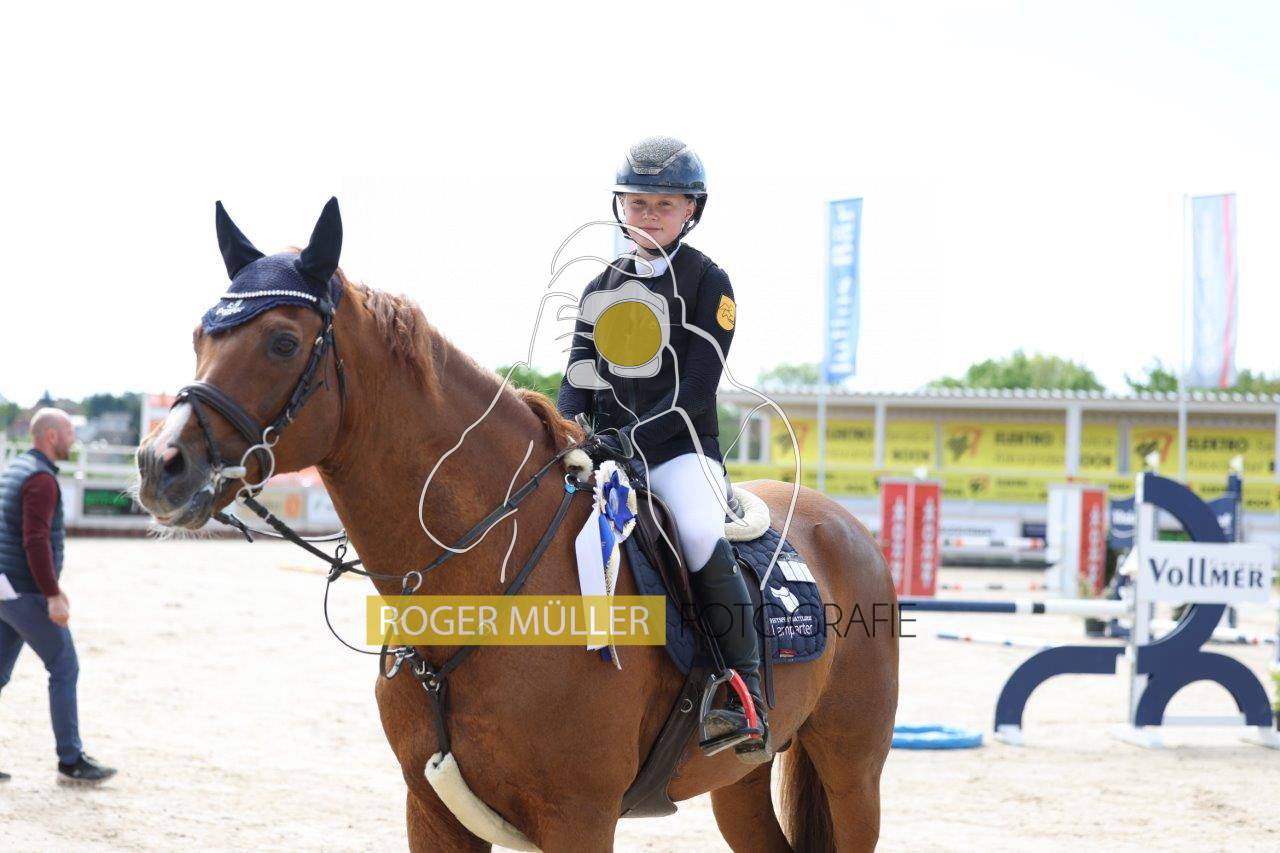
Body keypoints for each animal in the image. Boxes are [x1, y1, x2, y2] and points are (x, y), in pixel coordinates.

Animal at [136, 199, 899, 852]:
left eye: (283, 342)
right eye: (200, 334)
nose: (158, 465)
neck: (484, 589)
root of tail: (846, 526)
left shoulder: (578, 817)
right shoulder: (431, 811)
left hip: (852, 771)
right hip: (739, 777)